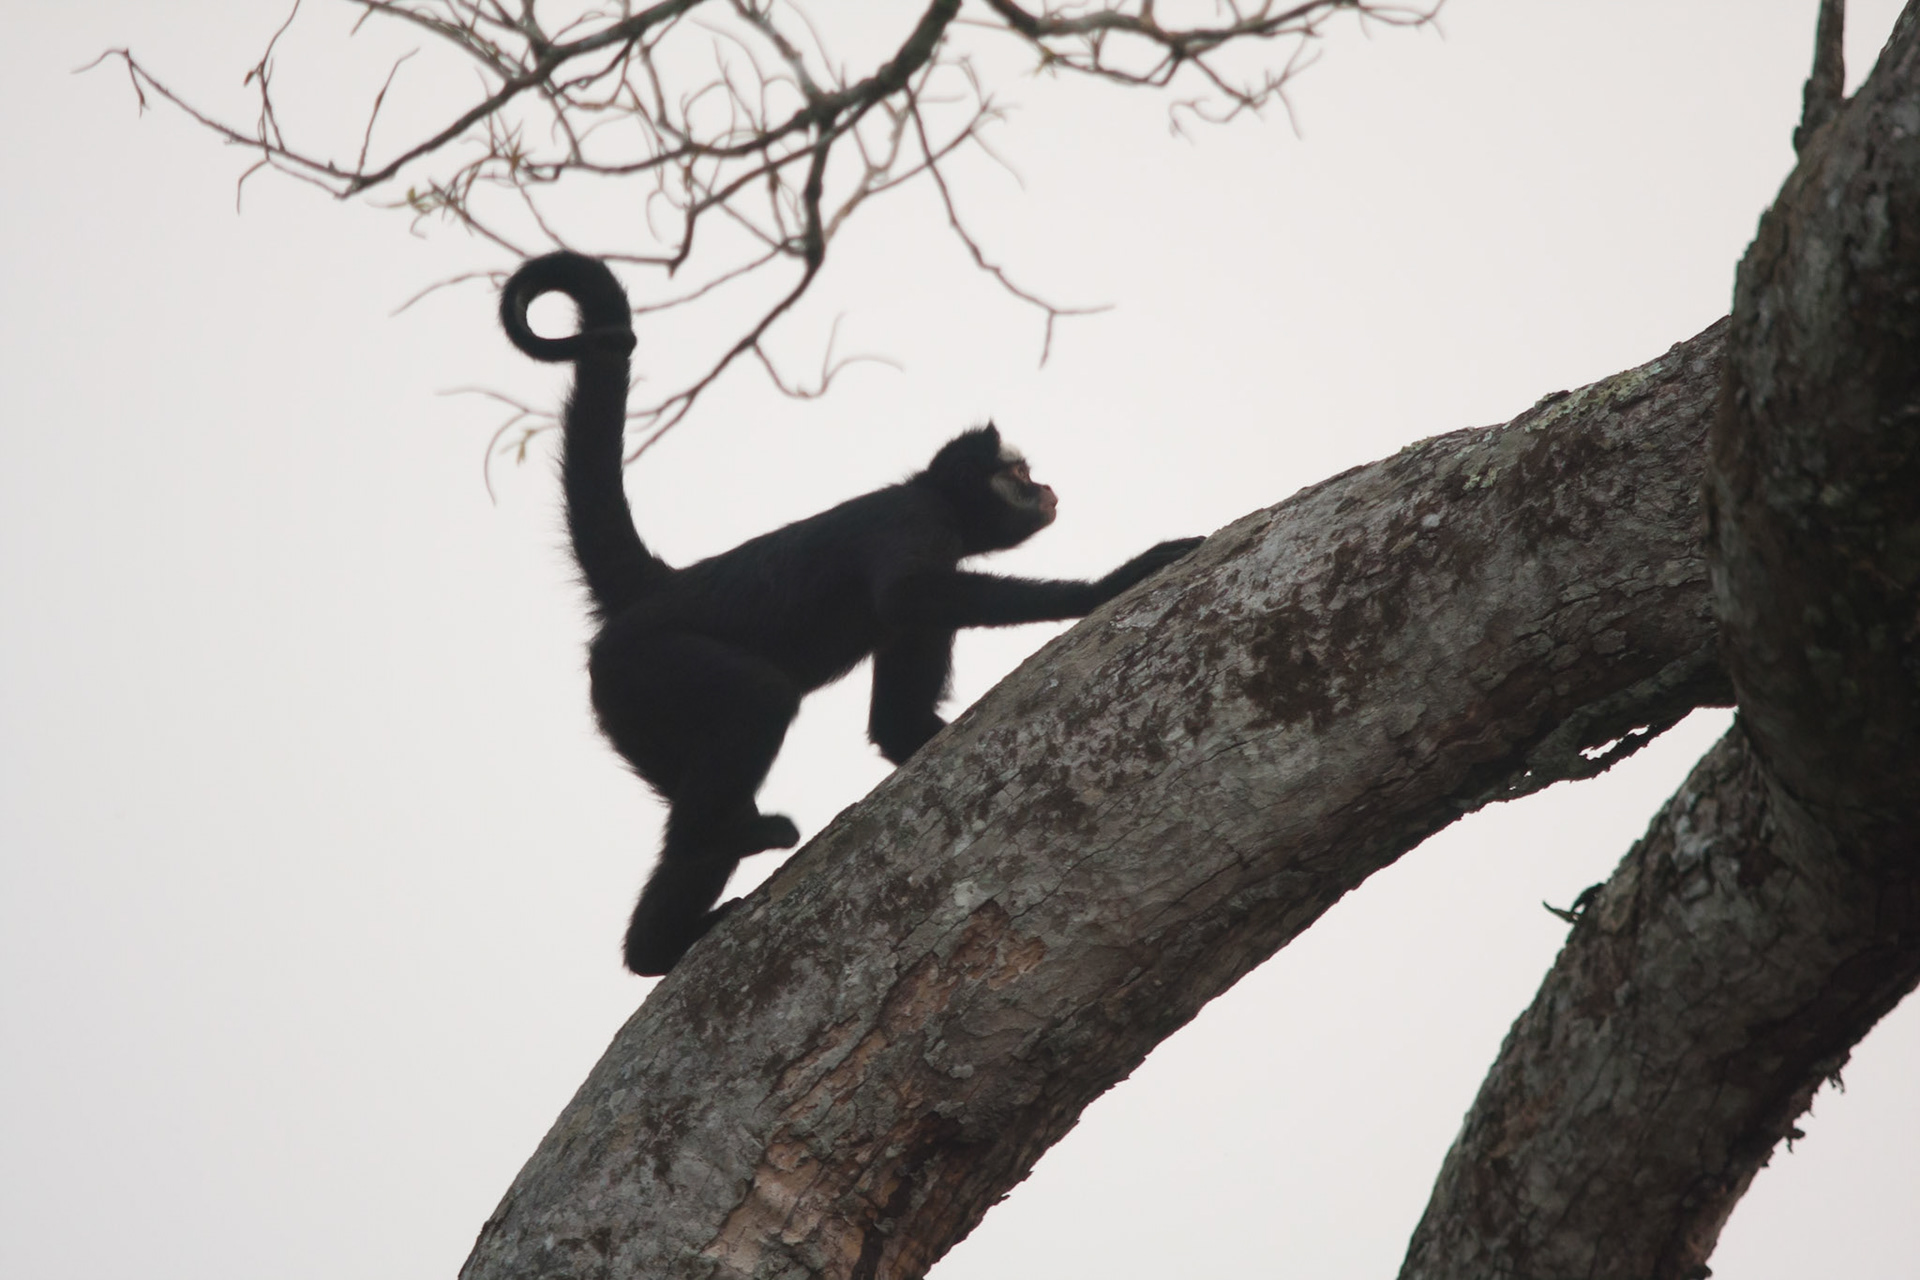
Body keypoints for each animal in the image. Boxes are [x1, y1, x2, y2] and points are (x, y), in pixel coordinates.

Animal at [500, 251, 1205, 976]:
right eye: (1019, 474)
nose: (1047, 489)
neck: (934, 497)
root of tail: (658, 589)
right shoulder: (916, 520)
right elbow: (904, 598)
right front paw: (1104, 586)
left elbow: (897, 716)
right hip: (645, 667)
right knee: (761, 697)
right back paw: (678, 916)